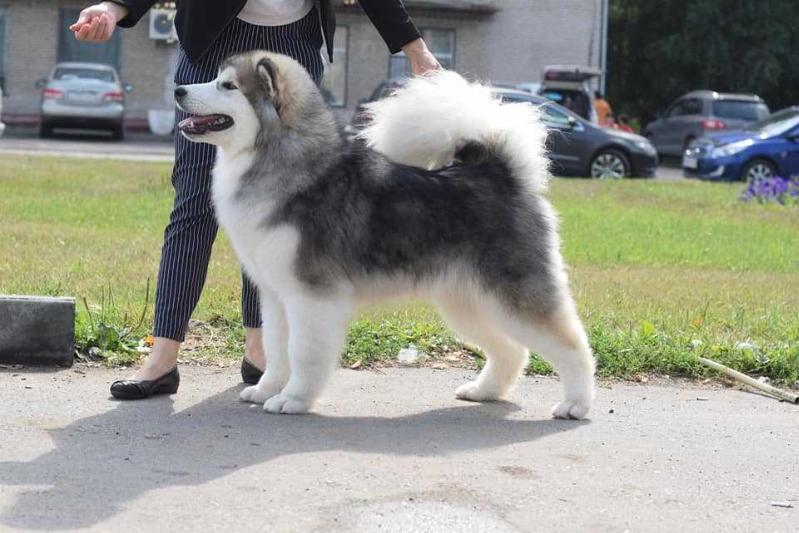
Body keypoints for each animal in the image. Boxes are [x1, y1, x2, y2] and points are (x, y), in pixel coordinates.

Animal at [178, 52, 596, 418]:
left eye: (228, 85)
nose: (179, 89)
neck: (283, 163)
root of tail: (498, 174)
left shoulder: (310, 297)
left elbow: (302, 352)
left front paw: (293, 399)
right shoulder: (277, 296)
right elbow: (277, 349)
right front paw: (266, 389)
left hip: (513, 294)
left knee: (573, 344)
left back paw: (576, 404)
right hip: (468, 301)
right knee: (511, 351)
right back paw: (484, 391)